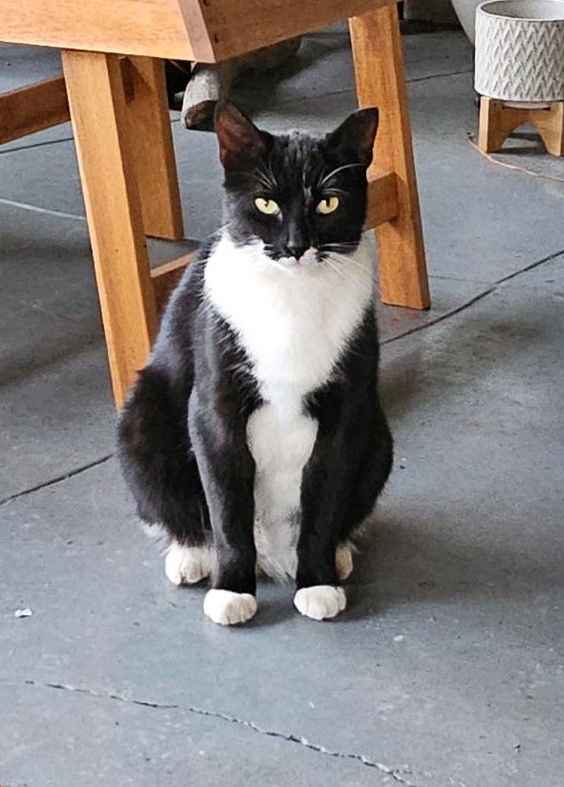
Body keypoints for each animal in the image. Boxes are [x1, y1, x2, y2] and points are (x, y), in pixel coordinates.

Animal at [118, 100, 392, 628]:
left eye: (328, 203)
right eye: (266, 203)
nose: (295, 246)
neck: (291, 297)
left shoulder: (345, 412)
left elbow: (324, 499)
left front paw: (318, 580)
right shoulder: (215, 409)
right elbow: (227, 508)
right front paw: (231, 590)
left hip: (378, 436)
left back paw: (339, 553)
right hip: (143, 418)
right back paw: (191, 555)